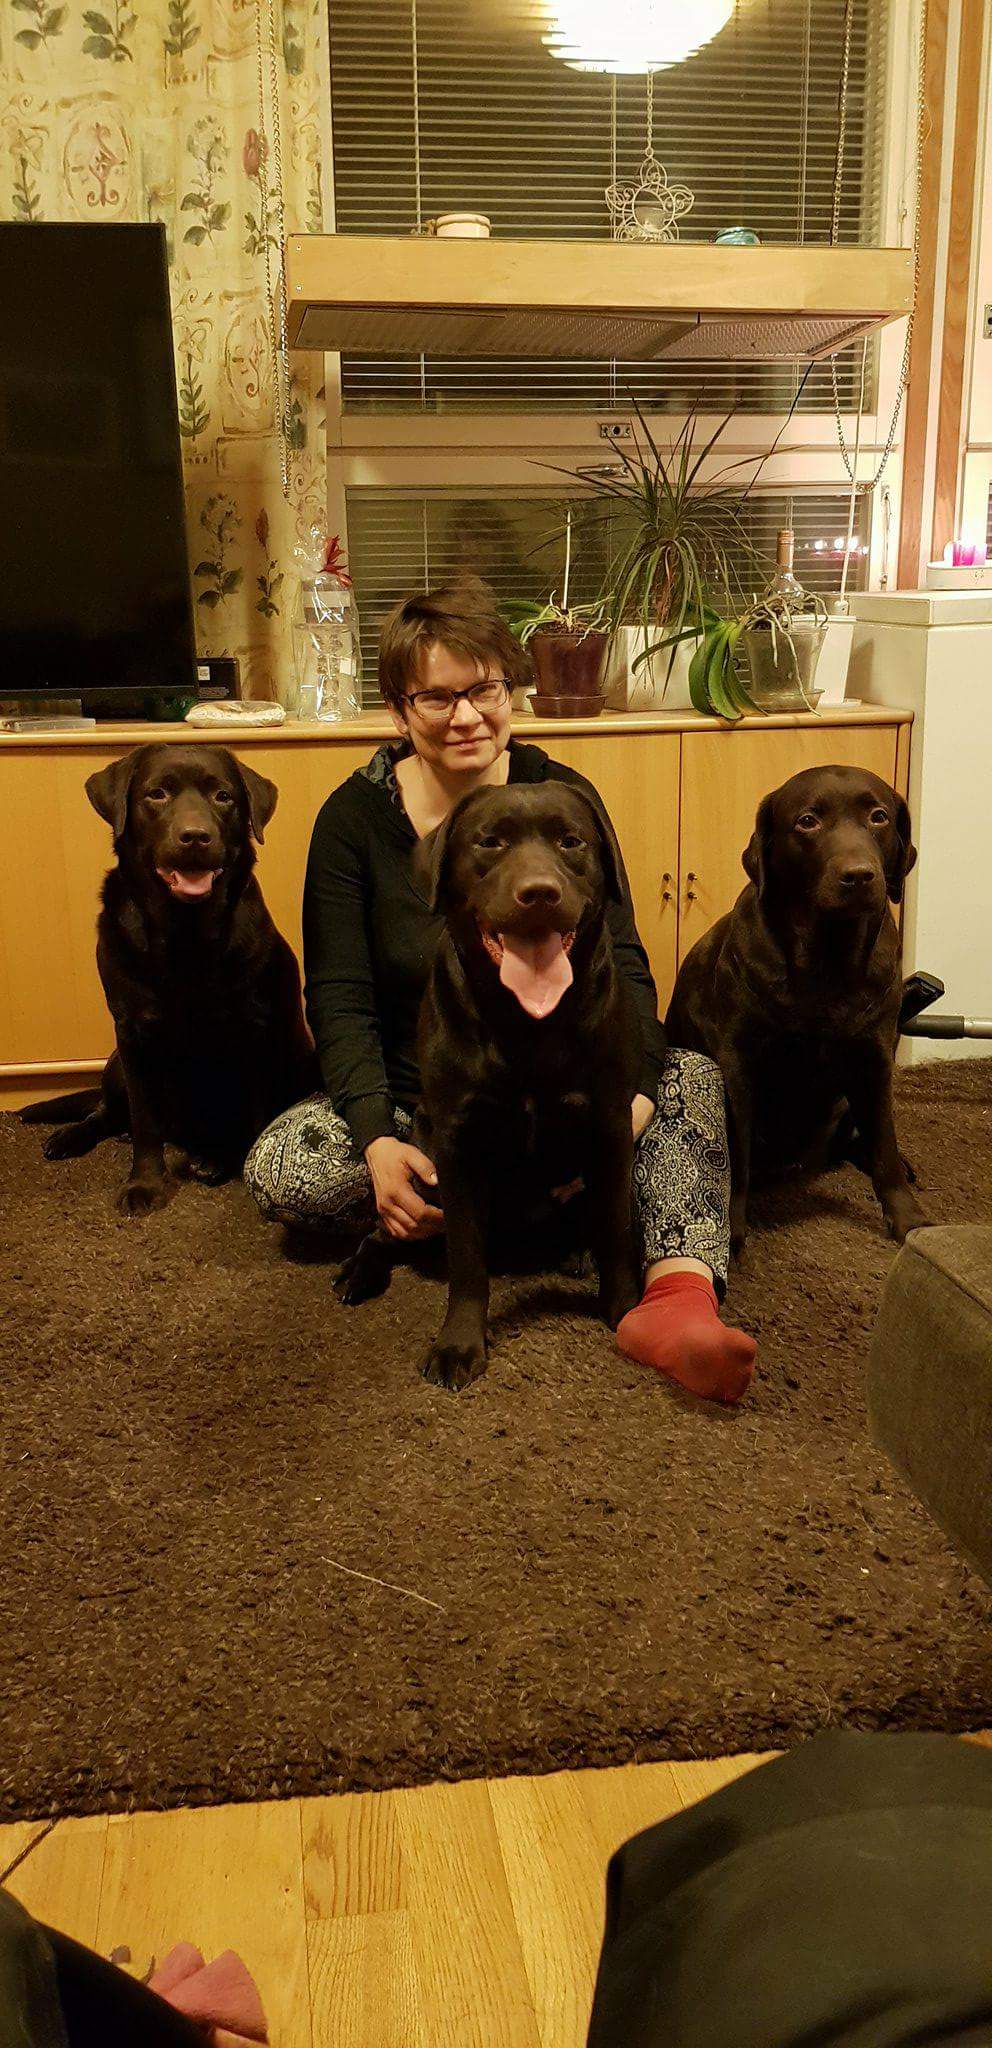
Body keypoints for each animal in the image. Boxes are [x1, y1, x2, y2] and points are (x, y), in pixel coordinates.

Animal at [22, 744, 315, 1214]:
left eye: (223, 796)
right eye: (156, 794)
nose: (195, 836)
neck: (185, 933)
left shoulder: (254, 1030)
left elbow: (253, 1111)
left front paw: (238, 1163)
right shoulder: (133, 1033)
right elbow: (145, 1121)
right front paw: (145, 1184)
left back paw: (210, 1158)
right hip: (116, 1064)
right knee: (106, 1111)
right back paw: (72, 1135)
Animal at [336, 781, 644, 1391]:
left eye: (571, 841)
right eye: (490, 843)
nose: (540, 893)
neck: (528, 1021)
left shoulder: (610, 1126)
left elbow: (617, 1230)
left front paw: (623, 1308)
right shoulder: (456, 1144)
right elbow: (467, 1258)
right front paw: (459, 1343)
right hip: (424, 1164)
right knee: (385, 1231)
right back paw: (359, 1271)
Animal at [665, 764, 927, 1255]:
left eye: (879, 817)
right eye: (808, 821)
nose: (858, 875)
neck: (828, 960)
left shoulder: (874, 1058)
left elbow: (884, 1140)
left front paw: (908, 1219)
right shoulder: (738, 1064)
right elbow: (736, 1154)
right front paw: (732, 1227)